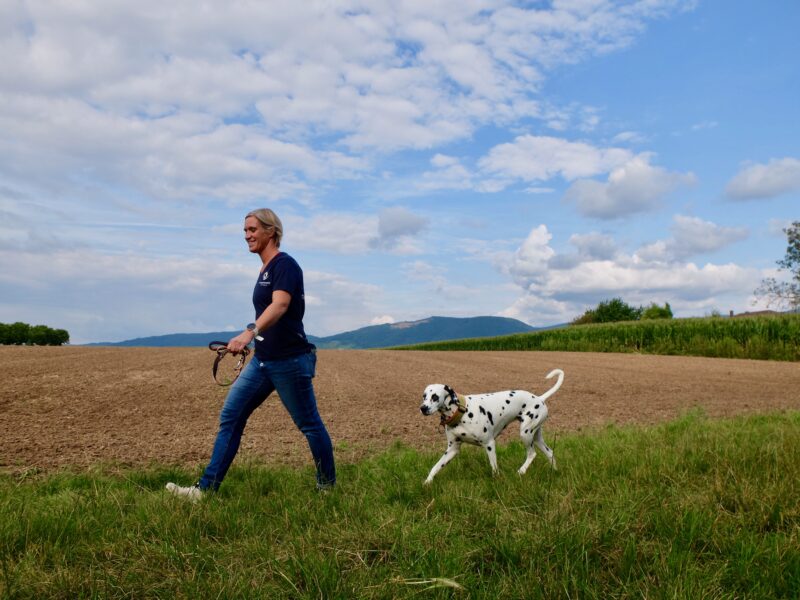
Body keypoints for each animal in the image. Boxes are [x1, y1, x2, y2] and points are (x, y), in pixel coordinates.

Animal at [418, 368, 564, 486]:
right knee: (550, 453)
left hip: (525, 433)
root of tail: (540, 398)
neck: (462, 412)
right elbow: (435, 467)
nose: (423, 408)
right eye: (424, 396)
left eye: (435, 397)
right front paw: (427, 482)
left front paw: (496, 481)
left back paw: (521, 471)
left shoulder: (489, 444)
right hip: (536, 437)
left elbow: (494, 468)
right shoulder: (452, 449)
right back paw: (555, 472)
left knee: (532, 454)